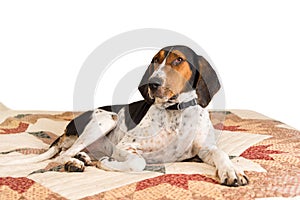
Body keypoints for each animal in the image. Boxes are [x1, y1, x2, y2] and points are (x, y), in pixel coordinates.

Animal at [2, 45, 248, 186]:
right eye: (155, 60)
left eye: (178, 60)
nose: (153, 83)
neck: (176, 111)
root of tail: (66, 129)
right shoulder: (125, 146)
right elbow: (138, 163)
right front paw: (106, 164)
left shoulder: (205, 150)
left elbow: (221, 153)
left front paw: (232, 171)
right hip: (106, 120)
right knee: (62, 155)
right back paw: (76, 162)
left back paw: (83, 159)